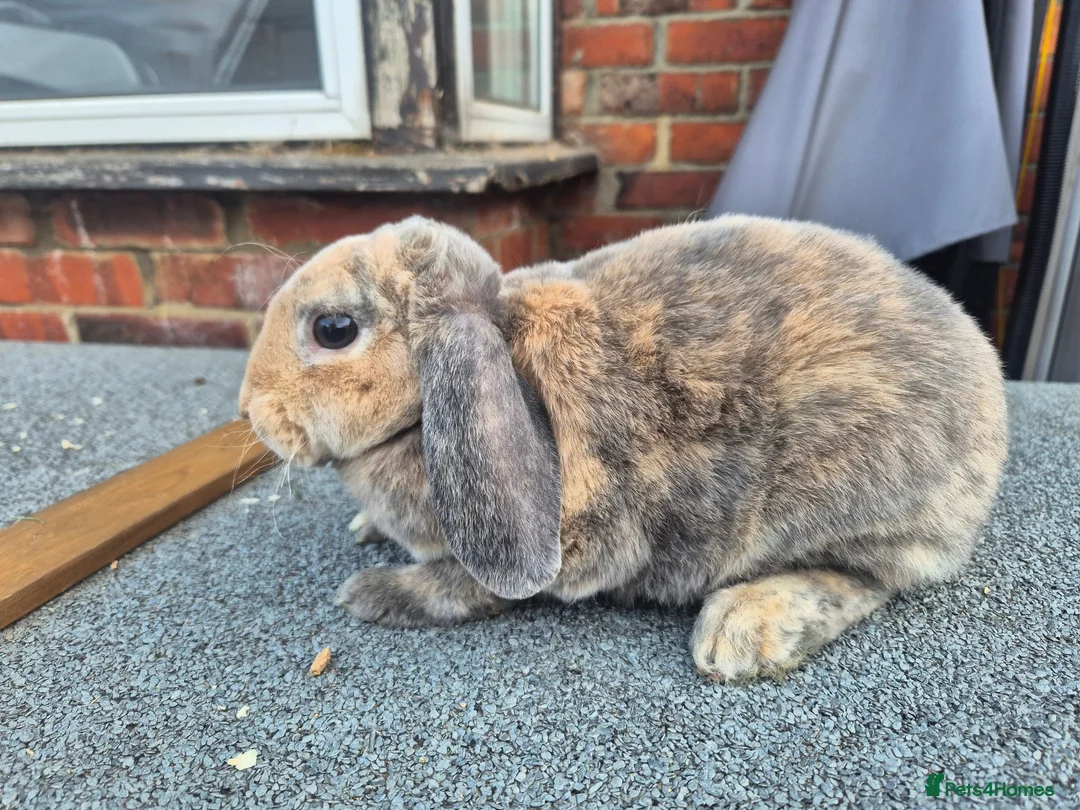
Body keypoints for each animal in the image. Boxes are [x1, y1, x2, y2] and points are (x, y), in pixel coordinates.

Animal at [239, 214, 1007, 681]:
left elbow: (461, 589)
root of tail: (987, 381)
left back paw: (739, 630)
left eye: (333, 328)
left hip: (855, 502)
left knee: (867, 582)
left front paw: (369, 593)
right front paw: (365, 529)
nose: (249, 409)